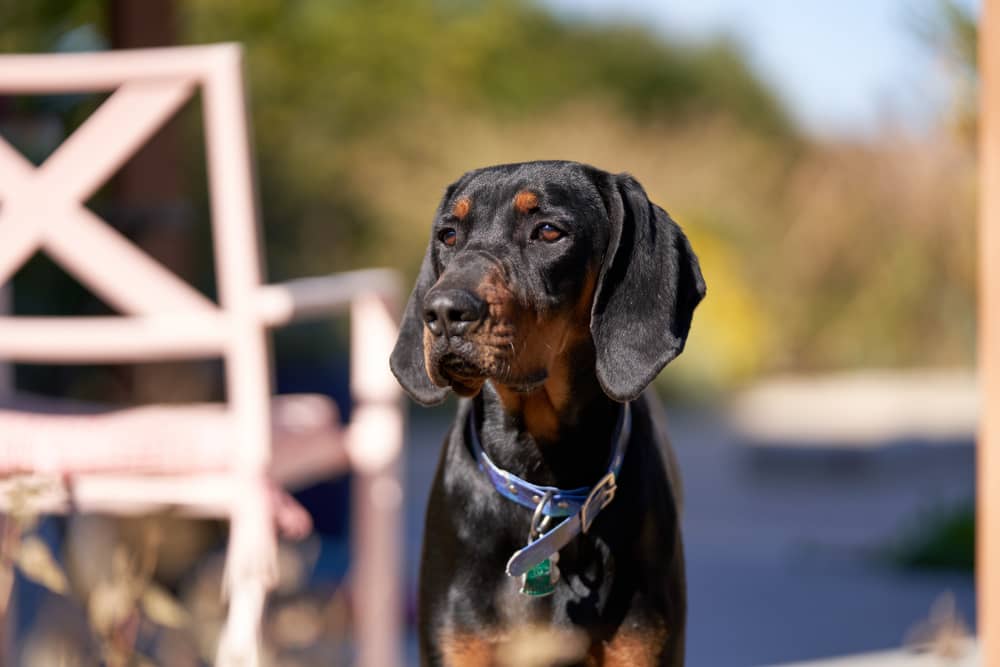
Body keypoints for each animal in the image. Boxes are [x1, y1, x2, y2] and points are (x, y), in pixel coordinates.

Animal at [388, 159, 704, 664]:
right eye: (449, 235)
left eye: (549, 231)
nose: (441, 312)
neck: (542, 479)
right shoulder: (457, 643)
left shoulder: (641, 644)